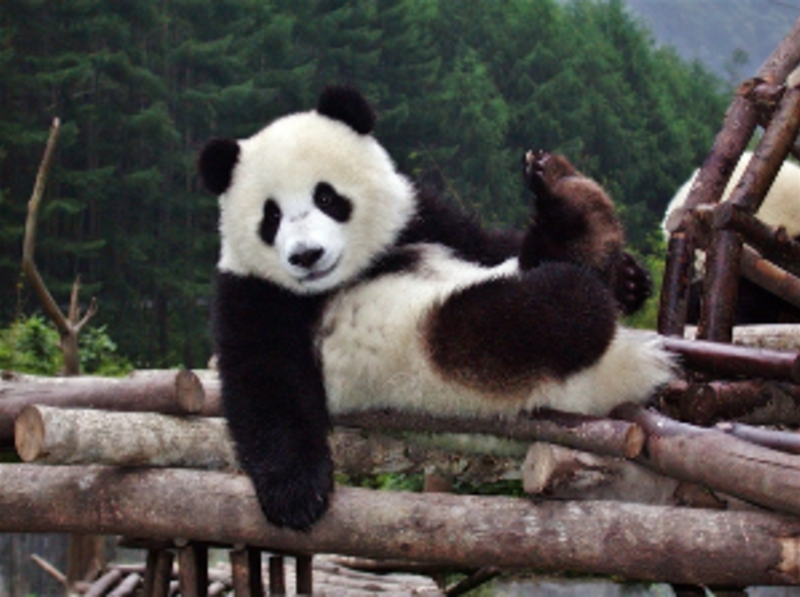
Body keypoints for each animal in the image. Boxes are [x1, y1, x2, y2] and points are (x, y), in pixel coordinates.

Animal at [199, 86, 674, 531]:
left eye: (327, 198)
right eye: (272, 216)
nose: (306, 255)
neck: (345, 277)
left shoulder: (423, 219)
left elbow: (486, 242)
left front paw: (632, 280)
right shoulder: (255, 292)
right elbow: (264, 383)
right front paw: (296, 496)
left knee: (539, 263)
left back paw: (566, 192)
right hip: (458, 355)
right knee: (534, 315)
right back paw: (578, 250)